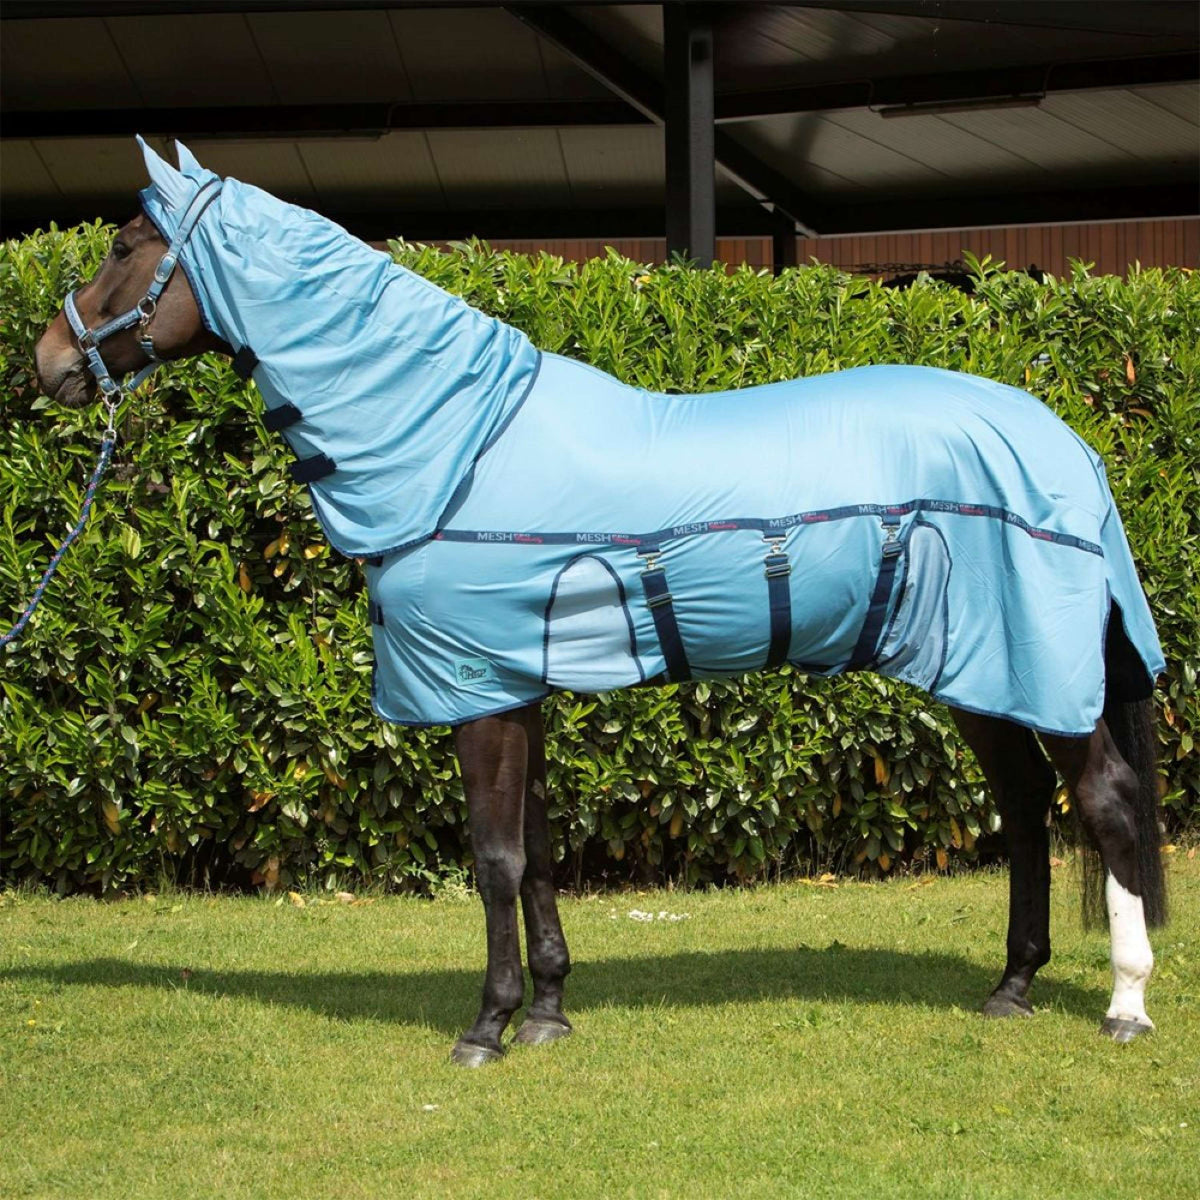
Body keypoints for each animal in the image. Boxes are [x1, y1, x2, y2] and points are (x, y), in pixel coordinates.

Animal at [32, 140, 1167, 1065]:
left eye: (126, 242)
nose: (45, 362)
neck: (458, 445)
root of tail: (1068, 447)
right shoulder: (515, 686)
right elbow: (534, 853)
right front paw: (547, 1012)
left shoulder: (479, 692)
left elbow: (492, 859)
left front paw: (487, 1027)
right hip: (982, 669)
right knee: (1025, 807)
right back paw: (1012, 987)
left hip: (1025, 667)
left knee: (1105, 805)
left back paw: (1125, 1005)